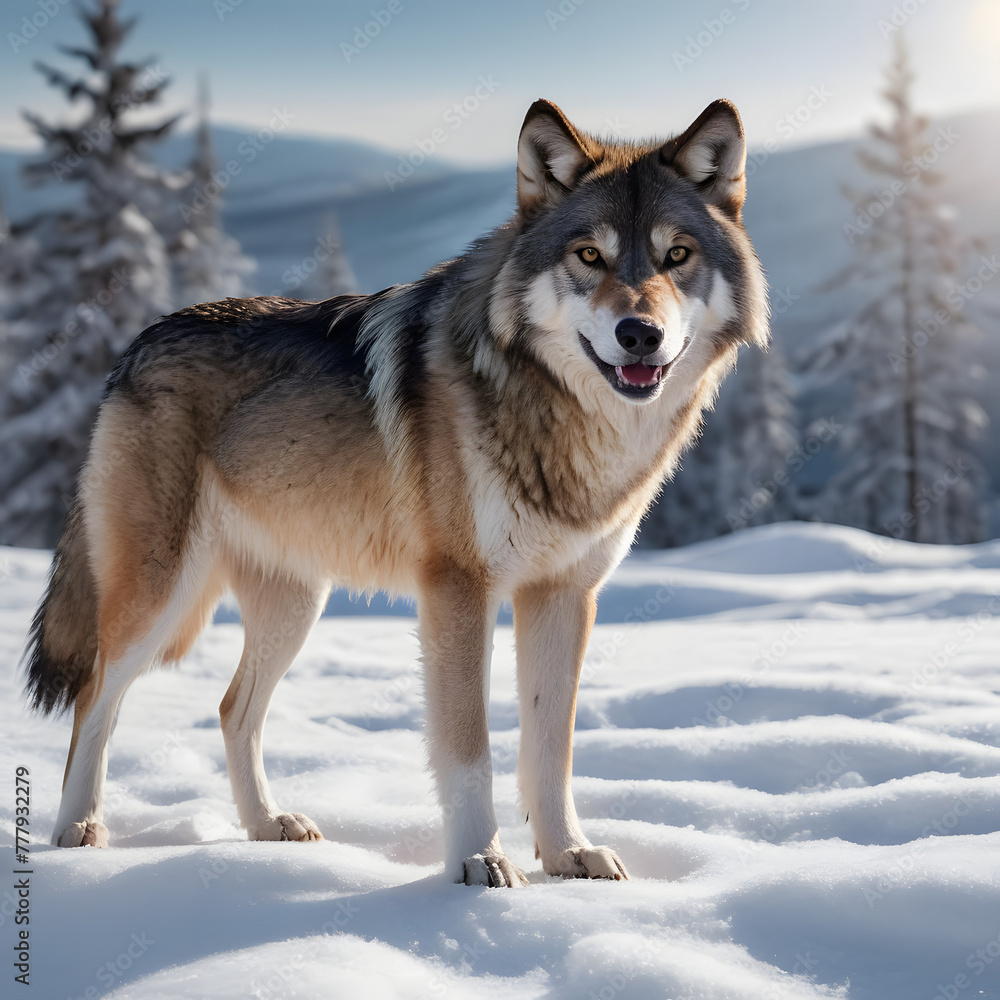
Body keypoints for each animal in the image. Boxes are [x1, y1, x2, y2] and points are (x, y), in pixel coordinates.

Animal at [24, 98, 767, 886]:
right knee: (95, 697)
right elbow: (470, 747)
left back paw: (265, 827)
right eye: (589, 257)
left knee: (231, 710)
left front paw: (569, 855)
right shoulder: (458, 589)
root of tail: (133, 347)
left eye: (676, 256)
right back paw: (79, 831)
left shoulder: (565, 594)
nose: (639, 333)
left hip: (296, 606)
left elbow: (551, 750)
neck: (555, 418)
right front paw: (479, 863)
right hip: (160, 596)